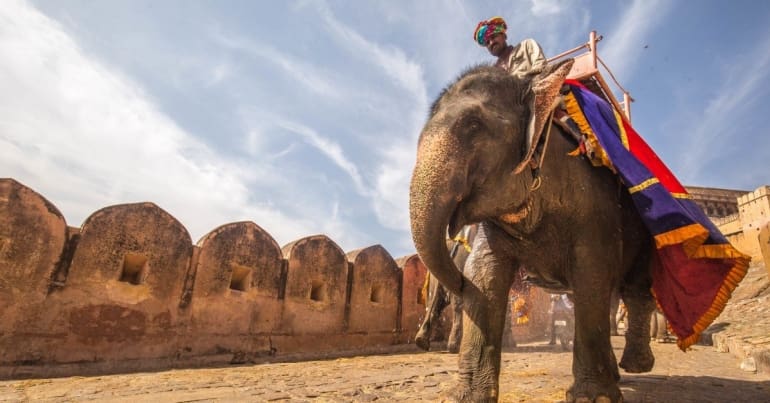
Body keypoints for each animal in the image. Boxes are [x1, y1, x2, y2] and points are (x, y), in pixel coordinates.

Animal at [408, 58, 656, 402]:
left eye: (473, 125)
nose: (458, 281)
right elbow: (484, 275)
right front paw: (466, 397)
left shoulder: (595, 204)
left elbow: (592, 272)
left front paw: (592, 398)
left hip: (641, 222)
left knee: (633, 289)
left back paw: (636, 366)